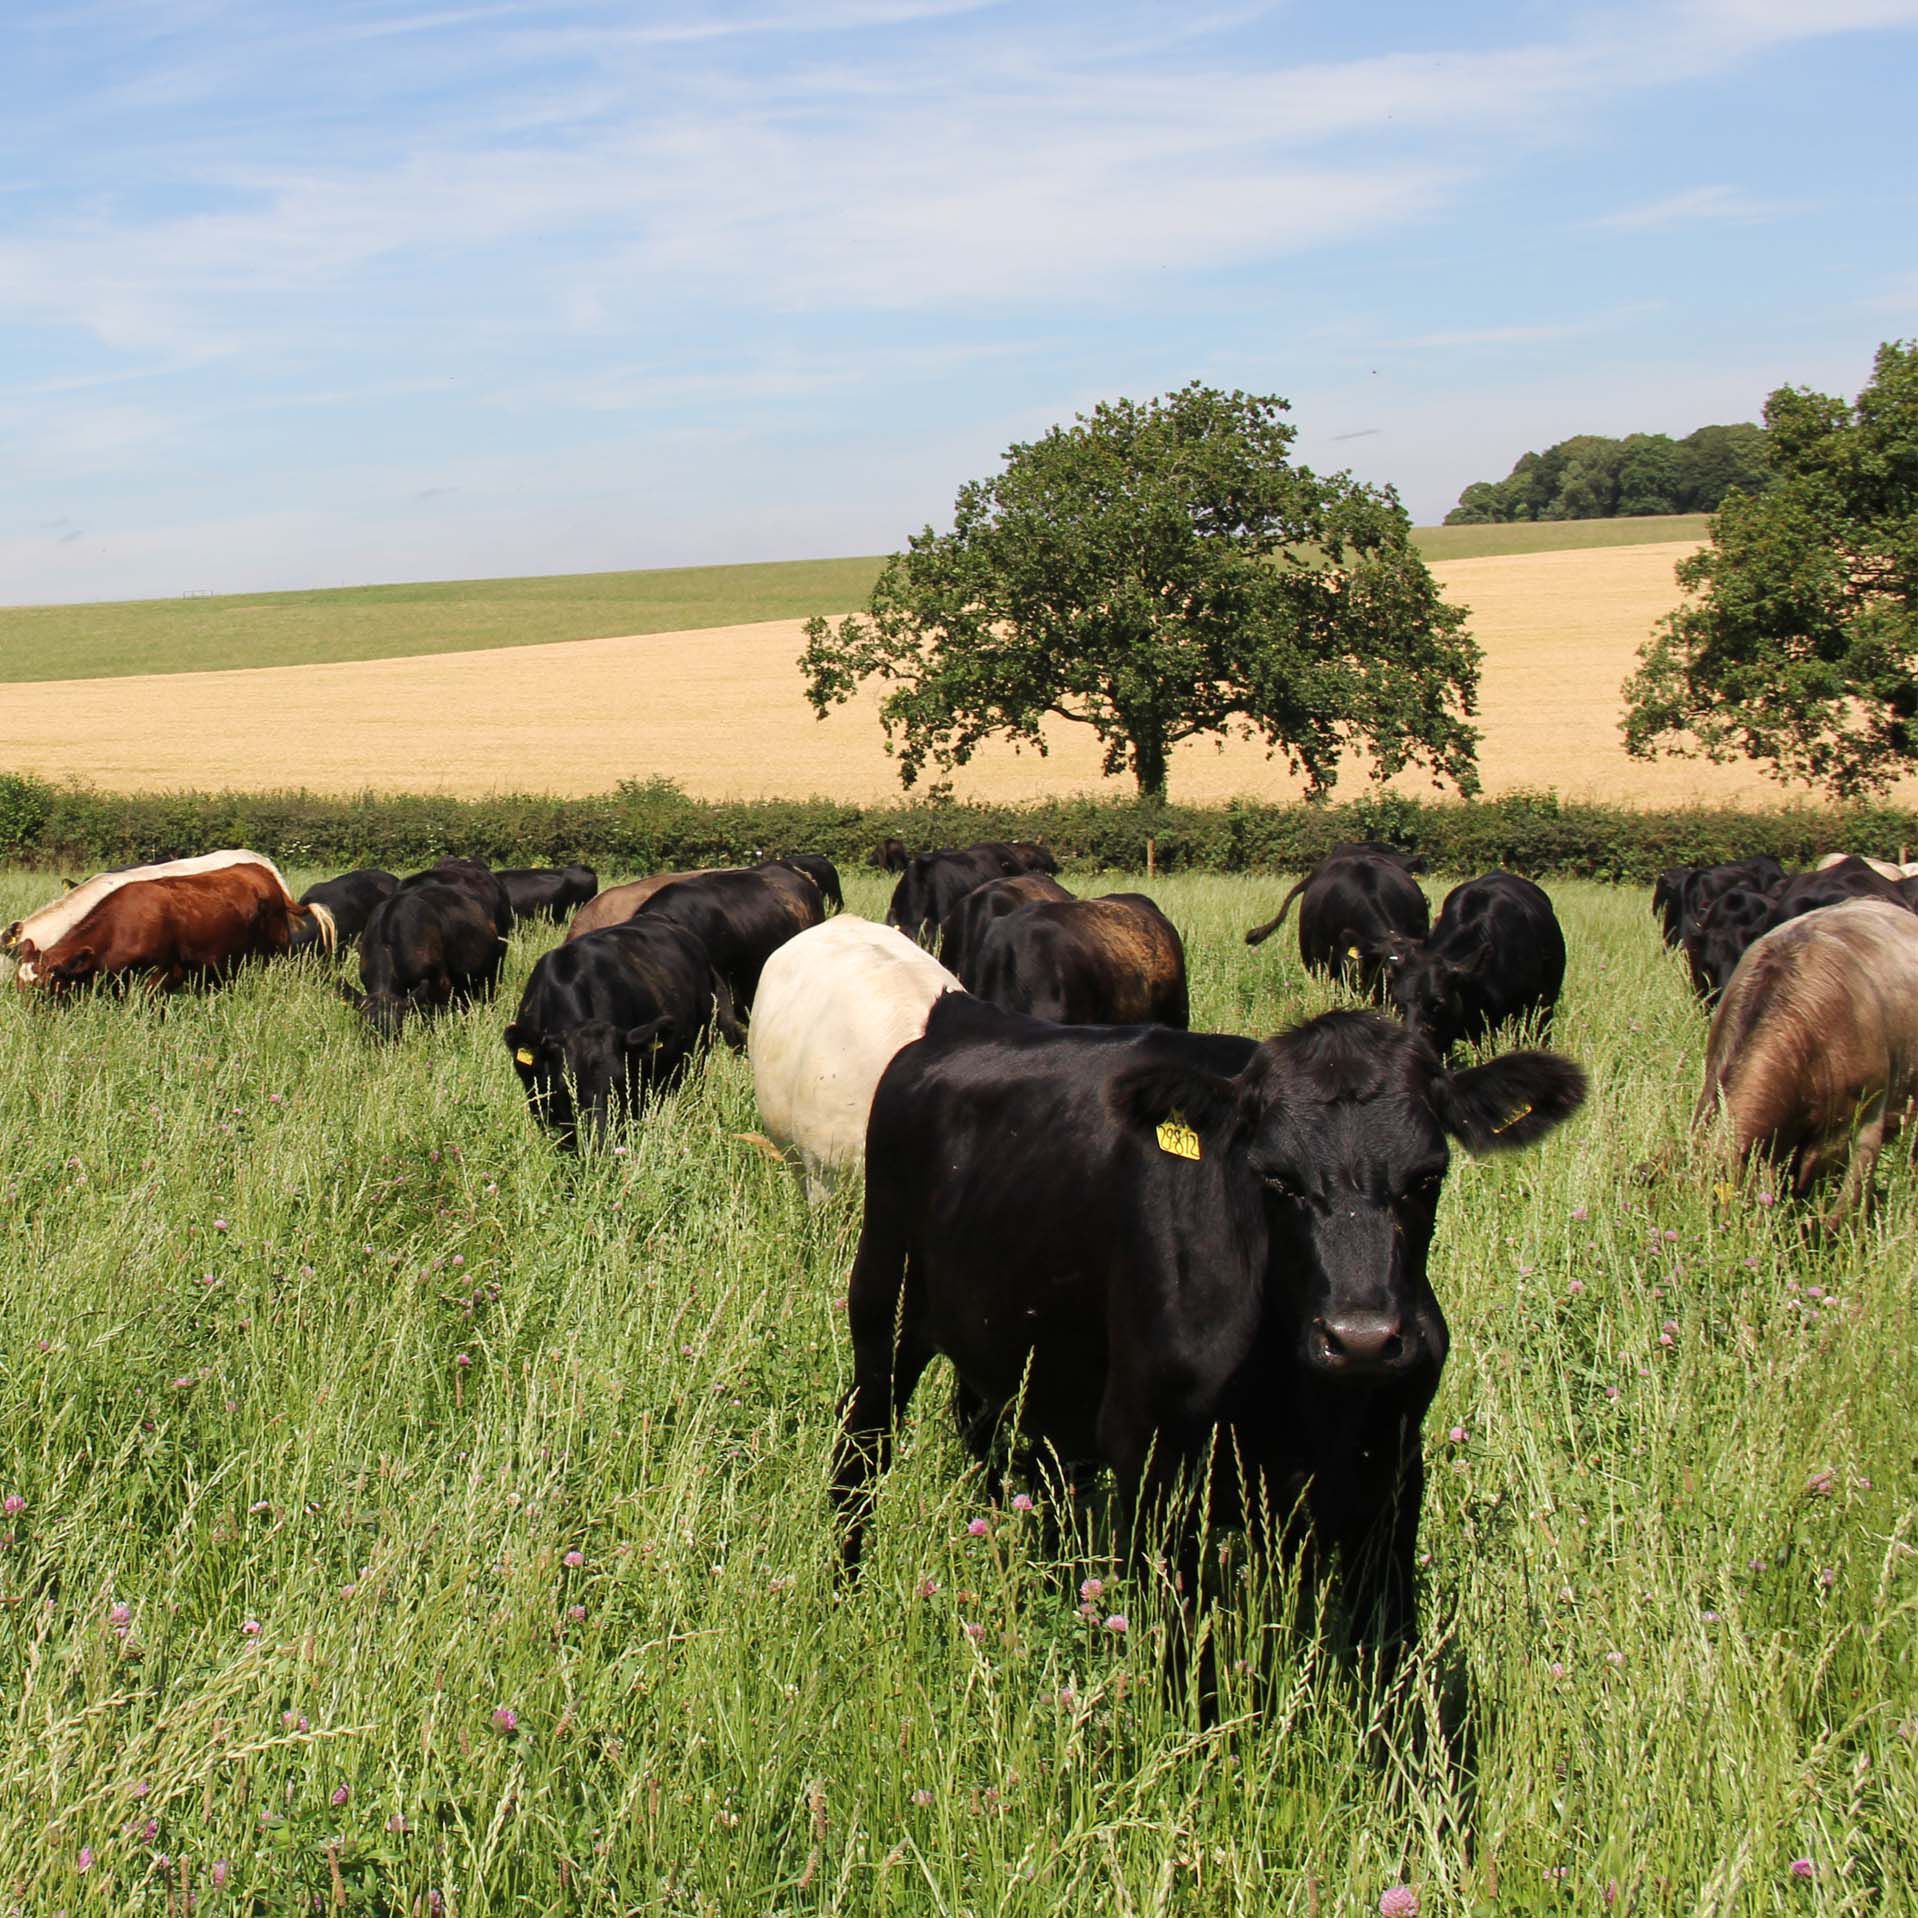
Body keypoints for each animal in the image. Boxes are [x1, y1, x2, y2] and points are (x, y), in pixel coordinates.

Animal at [10, 862, 335, 992]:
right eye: (19, 986)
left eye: (44, 986)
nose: (34, 1022)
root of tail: (263, 873)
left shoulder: (167, 973)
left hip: (277, 950)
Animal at [832, 992, 1587, 1684]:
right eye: (1275, 1176)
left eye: (1428, 1176)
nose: (1362, 1339)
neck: (1296, 1395)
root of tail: (963, 1013)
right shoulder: (1149, 1453)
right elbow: (1181, 1654)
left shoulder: (1395, 1469)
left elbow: (1389, 1653)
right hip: (883, 1306)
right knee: (862, 1444)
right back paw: (846, 1587)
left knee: (996, 1443)